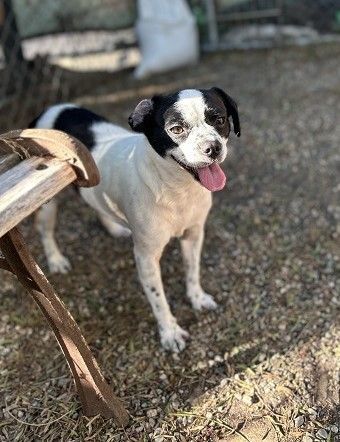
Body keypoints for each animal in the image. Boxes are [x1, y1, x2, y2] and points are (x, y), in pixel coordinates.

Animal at [30, 88, 240, 352]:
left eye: (219, 119)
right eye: (176, 129)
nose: (213, 148)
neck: (177, 190)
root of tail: (47, 110)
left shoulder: (194, 234)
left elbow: (192, 271)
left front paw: (197, 298)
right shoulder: (146, 256)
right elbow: (158, 299)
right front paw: (170, 332)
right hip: (49, 202)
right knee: (45, 231)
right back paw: (56, 259)